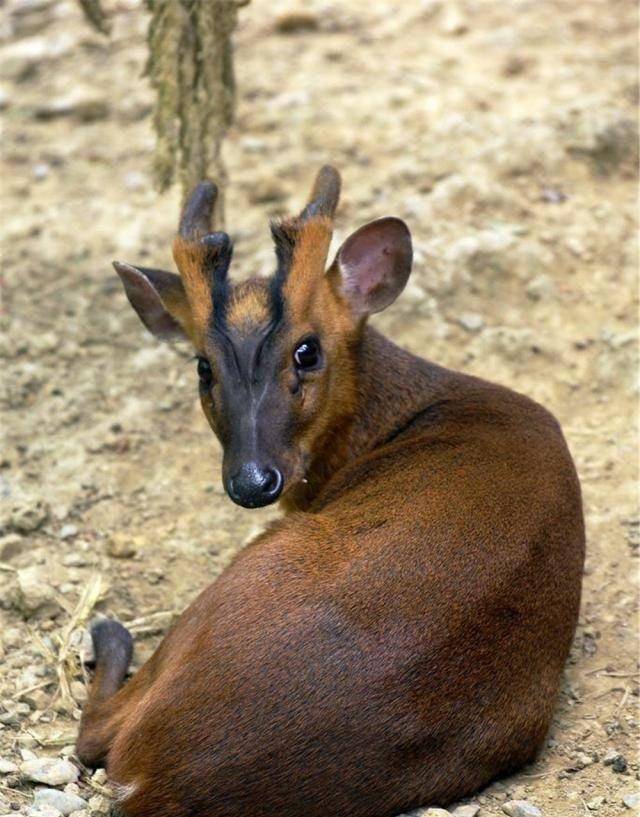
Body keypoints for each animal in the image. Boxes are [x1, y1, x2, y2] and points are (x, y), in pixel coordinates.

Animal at [76, 166, 584, 816]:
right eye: (202, 366)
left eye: (307, 349)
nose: (252, 480)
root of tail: (161, 783)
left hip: (251, 569)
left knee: (96, 735)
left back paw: (109, 632)